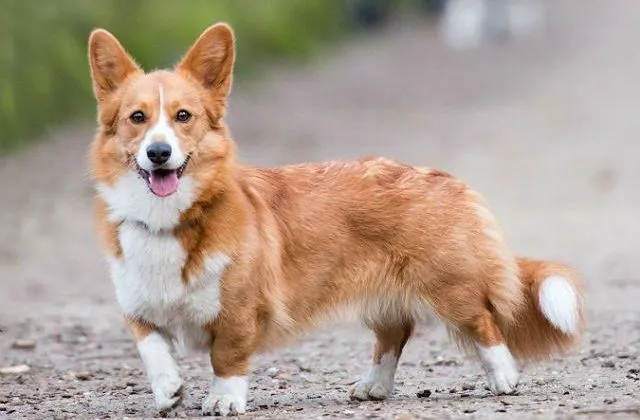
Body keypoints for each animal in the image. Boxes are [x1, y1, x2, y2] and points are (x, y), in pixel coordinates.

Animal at [87, 23, 584, 416]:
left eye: (183, 116)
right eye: (137, 118)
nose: (158, 153)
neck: (169, 220)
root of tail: (441, 177)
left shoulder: (240, 309)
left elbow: (227, 356)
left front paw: (224, 399)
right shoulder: (137, 306)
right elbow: (152, 348)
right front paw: (169, 390)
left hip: (449, 287)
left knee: (483, 321)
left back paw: (503, 377)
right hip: (384, 295)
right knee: (395, 333)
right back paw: (374, 387)